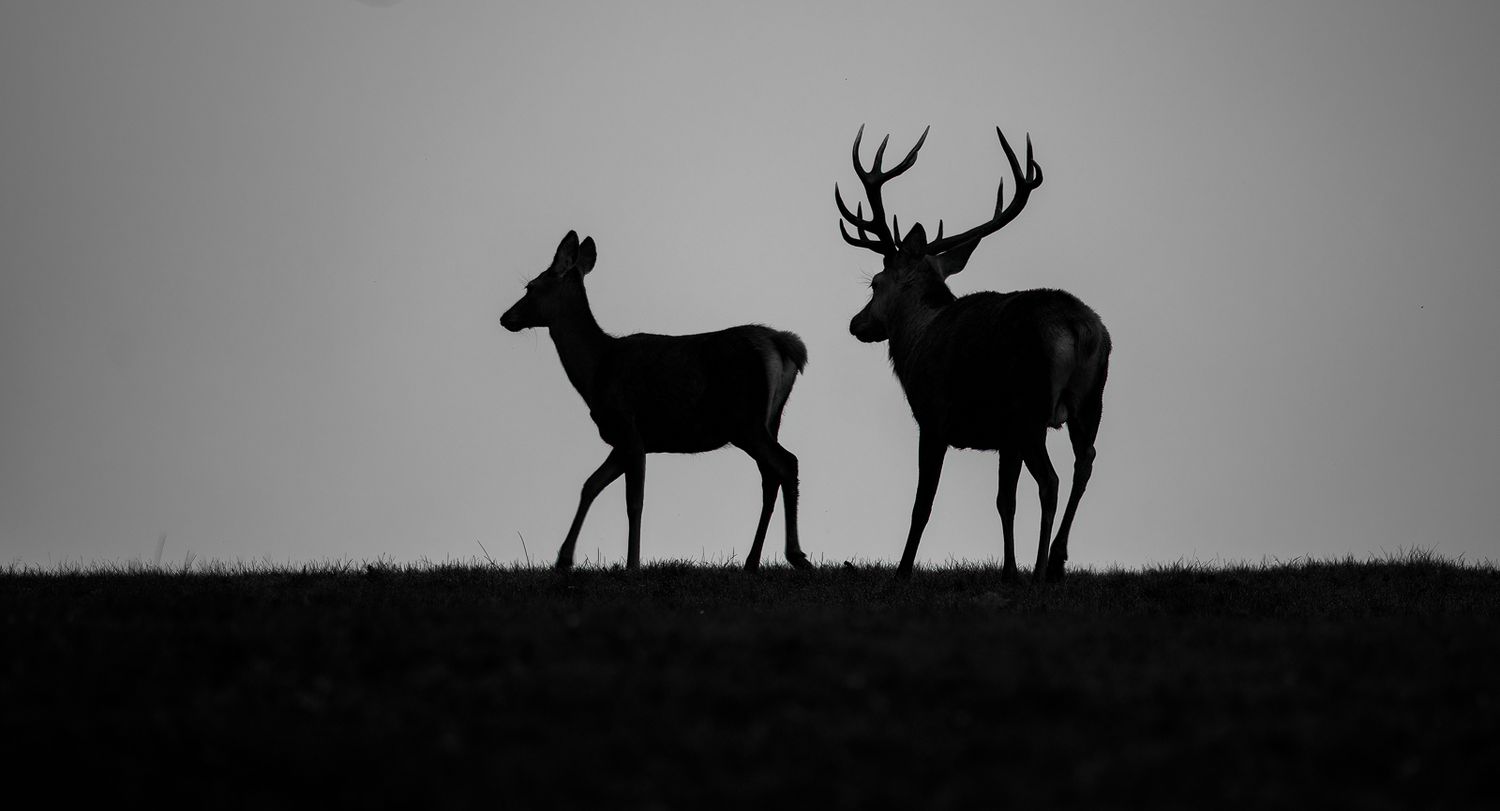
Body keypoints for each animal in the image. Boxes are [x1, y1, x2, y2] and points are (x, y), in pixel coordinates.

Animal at [500, 230, 813, 572]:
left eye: (530, 286)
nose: (505, 317)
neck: (596, 370)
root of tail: (784, 344)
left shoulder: (629, 427)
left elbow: (634, 502)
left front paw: (632, 564)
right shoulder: (624, 440)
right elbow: (590, 485)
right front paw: (564, 558)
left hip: (747, 420)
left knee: (787, 463)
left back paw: (796, 554)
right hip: (771, 418)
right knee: (771, 477)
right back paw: (752, 561)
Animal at [836, 125, 1111, 582]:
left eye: (874, 282)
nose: (857, 324)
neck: (915, 340)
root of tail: (1079, 327)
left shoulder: (933, 419)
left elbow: (922, 505)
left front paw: (902, 571)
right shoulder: (1004, 440)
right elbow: (1004, 501)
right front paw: (1008, 571)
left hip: (1030, 405)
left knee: (1051, 481)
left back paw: (1041, 569)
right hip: (1090, 400)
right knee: (1084, 463)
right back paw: (1056, 560)